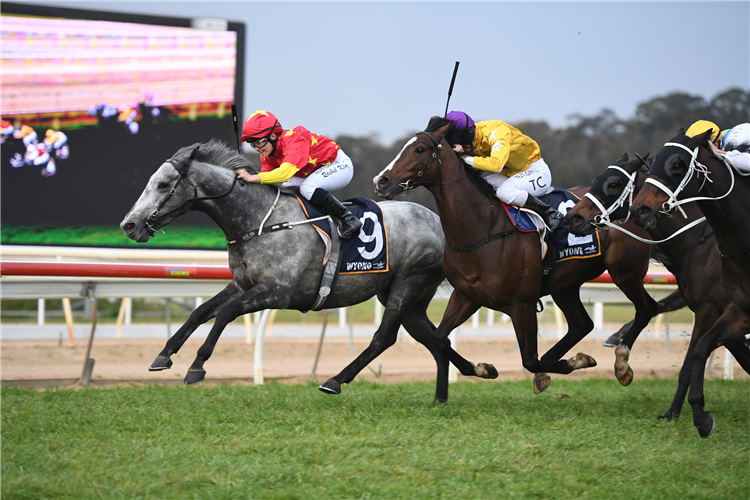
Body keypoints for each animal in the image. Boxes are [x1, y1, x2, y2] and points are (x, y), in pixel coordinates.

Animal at [122, 139, 500, 400]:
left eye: (162, 184)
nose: (129, 225)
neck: (259, 222)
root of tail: (440, 223)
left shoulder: (277, 292)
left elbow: (225, 314)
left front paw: (197, 366)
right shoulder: (243, 285)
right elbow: (200, 311)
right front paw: (163, 355)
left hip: (410, 281)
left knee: (385, 337)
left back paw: (335, 380)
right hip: (405, 295)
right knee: (434, 337)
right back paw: (467, 378)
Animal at [376, 116, 664, 398]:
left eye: (419, 149)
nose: (381, 180)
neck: (482, 228)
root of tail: (638, 201)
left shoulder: (522, 303)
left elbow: (530, 359)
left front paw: (571, 363)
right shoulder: (467, 294)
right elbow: (439, 339)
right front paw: (484, 368)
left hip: (625, 272)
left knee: (647, 308)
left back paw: (621, 365)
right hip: (566, 284)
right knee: (582, 324)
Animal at [568, 152, 736, 422]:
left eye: (613, 184)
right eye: (595, 180)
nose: (574, 217)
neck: (698, 239)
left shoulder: (708, 308)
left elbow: (690, 360)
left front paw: (674, 411)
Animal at [632, 130, 750, 438]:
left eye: (677, 164)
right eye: (654, 162)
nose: (640, 210)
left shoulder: (709, 308)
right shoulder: (737, 309)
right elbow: (700, 349)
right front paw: (699, 415)